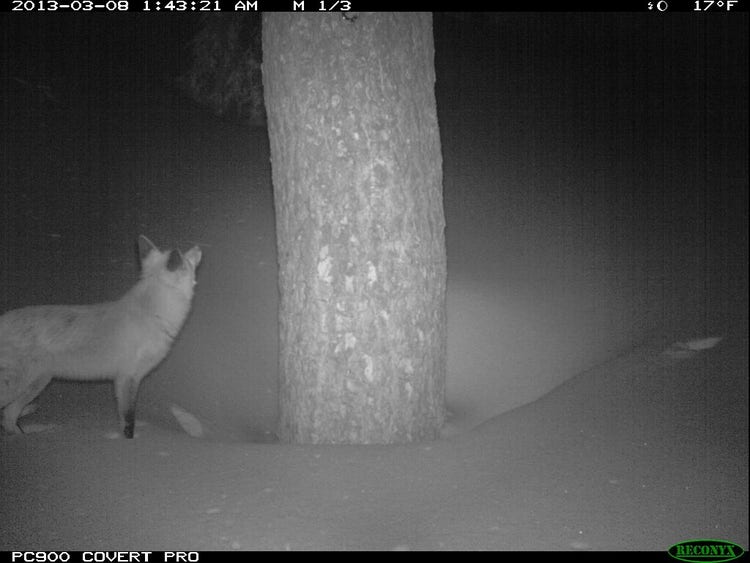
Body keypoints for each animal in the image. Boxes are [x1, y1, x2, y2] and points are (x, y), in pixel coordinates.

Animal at [0, 235, 202, 438]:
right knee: (7, 414)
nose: (199, 246)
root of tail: (3, 318)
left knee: (8, 416)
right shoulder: (127, 378)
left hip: (38, 382)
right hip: (20, 383)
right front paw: (130, 441)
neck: (154, 314)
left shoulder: (125, 380)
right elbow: (129, 420)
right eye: (187, 258)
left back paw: (22, 435)